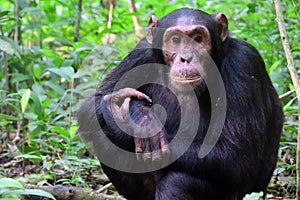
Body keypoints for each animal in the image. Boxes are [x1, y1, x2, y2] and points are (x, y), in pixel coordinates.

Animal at [78, 8, 284, 200]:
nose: (186, 57)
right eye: (176, 40)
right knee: (104, 137)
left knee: (177, 183)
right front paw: (141, 117)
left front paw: (134, 125)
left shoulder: (243, 63)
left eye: (198, 39)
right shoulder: (140, 51)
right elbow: (95, 102)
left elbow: (236, 155)